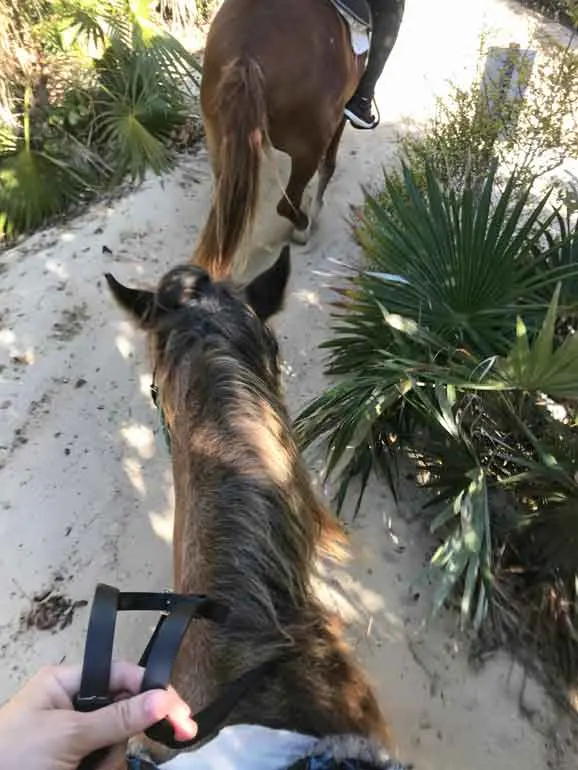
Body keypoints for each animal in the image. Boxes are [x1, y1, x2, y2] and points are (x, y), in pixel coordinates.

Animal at [191, 0, 366, 276]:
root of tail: (247, 51)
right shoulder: (340, 114)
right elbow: (329, 164)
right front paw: (316, 208)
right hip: (309, 146)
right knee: (287, 203)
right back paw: (304, 227)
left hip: (218, 140)